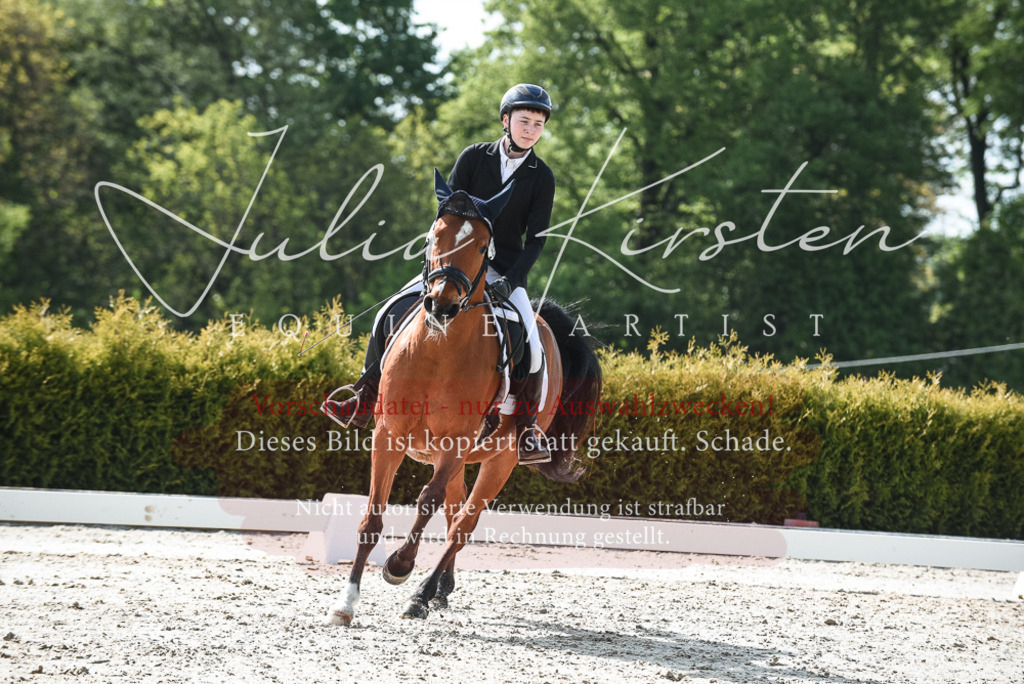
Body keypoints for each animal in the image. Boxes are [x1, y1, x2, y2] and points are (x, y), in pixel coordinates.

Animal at [327, 171, 602, 625]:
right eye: (434, 237)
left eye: (480, 246)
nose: (441, 305)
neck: (439, 350)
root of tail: (544, 319)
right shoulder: (389, 435)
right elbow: (372, 518)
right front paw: (345, 604)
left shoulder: (456, 442)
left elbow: (427, 502)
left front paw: (399, 567)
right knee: (454, 512)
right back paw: (441, 589)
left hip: (499, 458)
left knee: (462, 524)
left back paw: (422, 594)